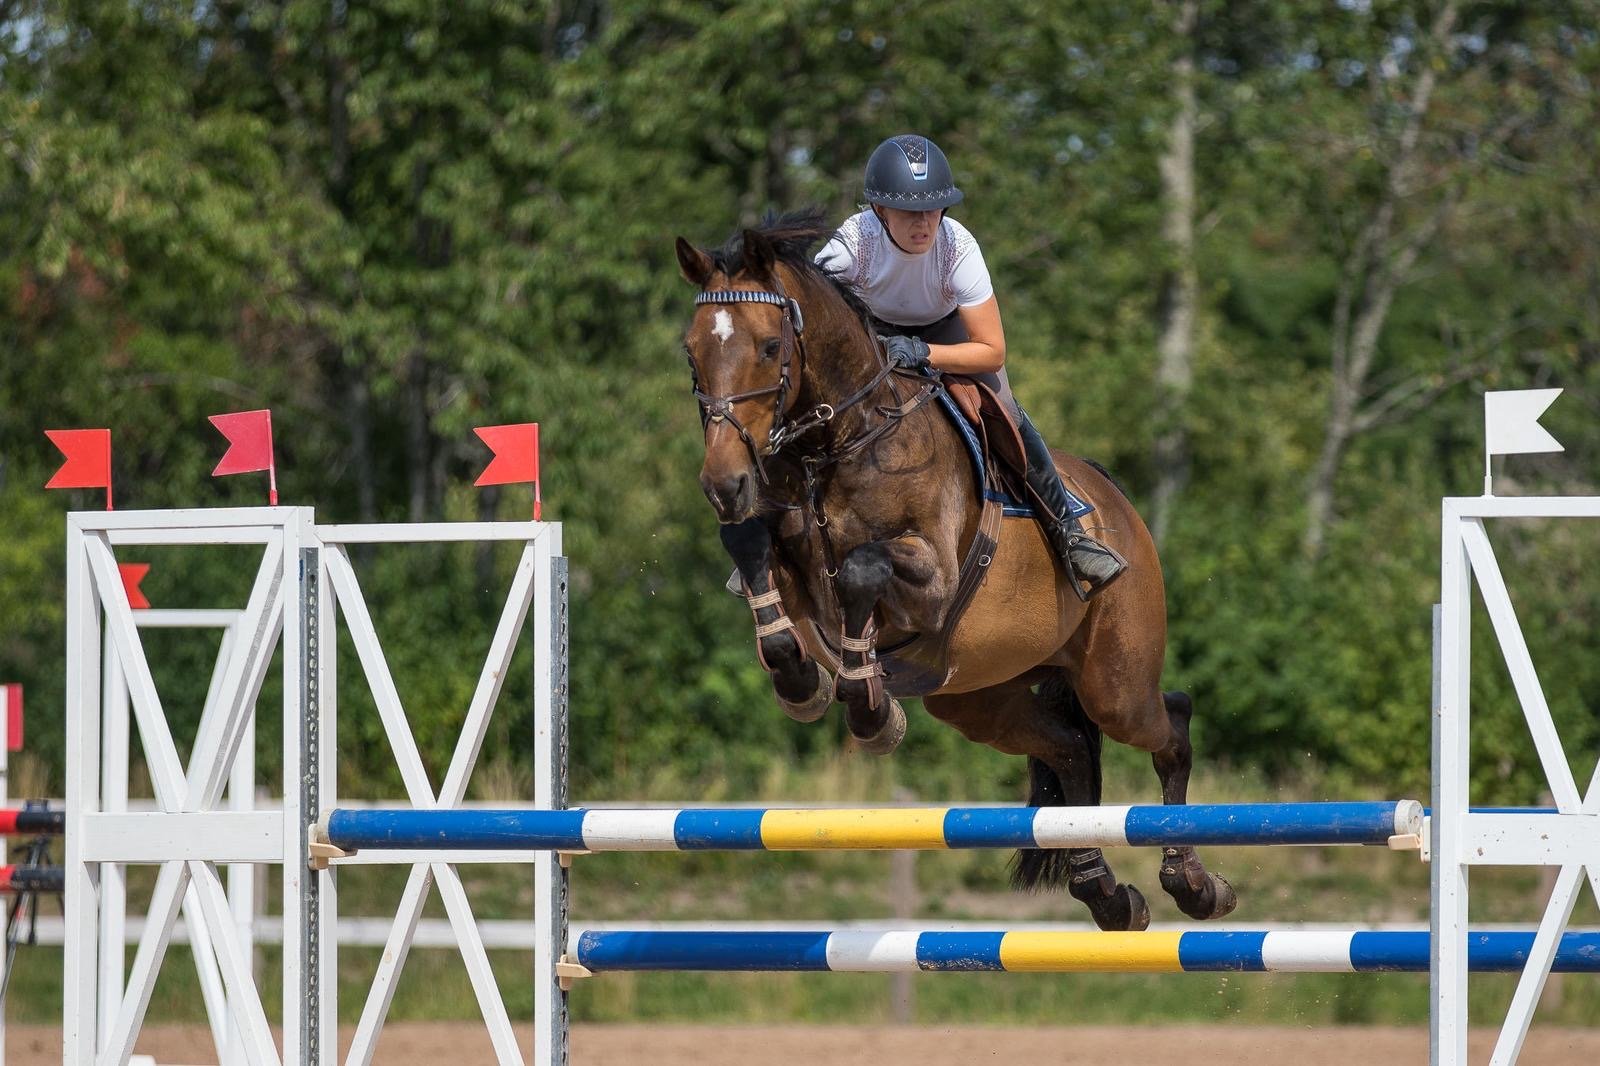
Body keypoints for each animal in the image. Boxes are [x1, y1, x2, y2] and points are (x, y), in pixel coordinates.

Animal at [673, 209, 1235, 930]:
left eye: (771, 348)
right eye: (693, 353)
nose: (723, 483)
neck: (840, 440)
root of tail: (1116, 502)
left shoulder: (932, 579)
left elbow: (862, 569)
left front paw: (870, 709)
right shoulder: (785, 556)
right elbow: (751, 549)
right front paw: (802, 681)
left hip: (1114, 680)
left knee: (1169, 725)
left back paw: (1192, 883)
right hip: (978, 697)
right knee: (1070, 748)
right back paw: (1108, 896)